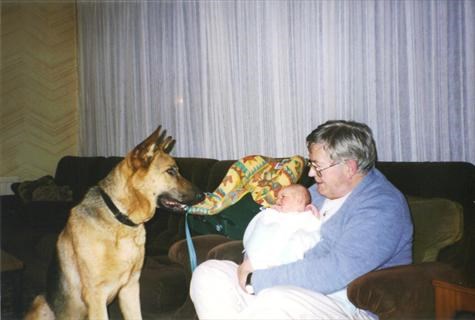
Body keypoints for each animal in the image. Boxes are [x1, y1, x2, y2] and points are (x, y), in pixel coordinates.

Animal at [25, 126, 205, 318]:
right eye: (171, 171)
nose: (202, 196)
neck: (121, 221)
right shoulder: (96, 296)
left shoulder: (130, 288)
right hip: (40, 302)